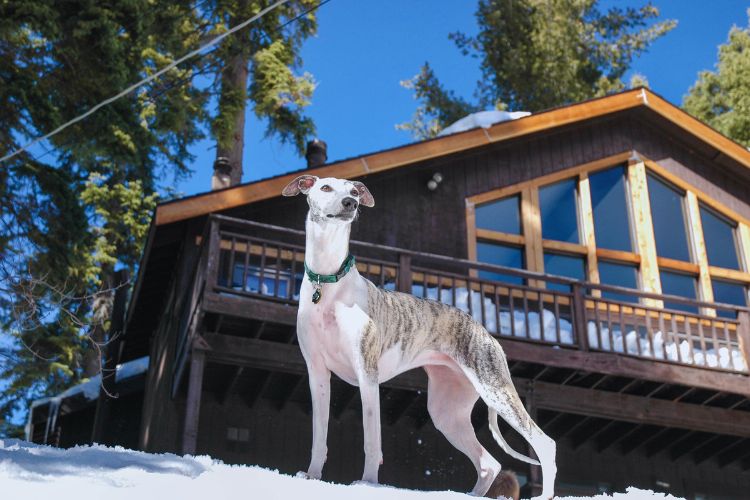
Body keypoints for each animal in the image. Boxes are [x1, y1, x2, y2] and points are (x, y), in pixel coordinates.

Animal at [282, 175, 560, 496]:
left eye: (354, 191)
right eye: (325, 187)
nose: (350, 204)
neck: (327, 282)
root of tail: (486, 334)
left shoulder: (367, 374)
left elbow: (371, 440)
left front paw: (367, 483)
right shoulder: (317, 373)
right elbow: (319, 434)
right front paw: (312, 476)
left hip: (496, 390)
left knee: (544, 443)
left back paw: (545, 494)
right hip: (446, 412)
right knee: (489, 463)